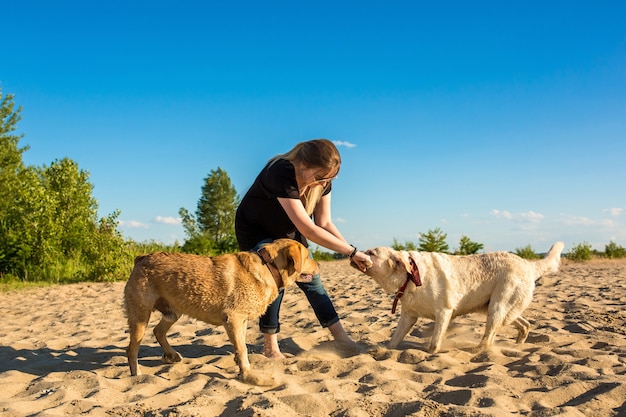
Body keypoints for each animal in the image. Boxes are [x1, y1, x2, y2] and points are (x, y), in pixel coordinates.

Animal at [123, 237, 316, 384]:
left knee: (158, 331)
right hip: (141, 317)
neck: (269, 266)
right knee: (132, 349)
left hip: (173, 312)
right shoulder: (233, 318)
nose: (319, 265)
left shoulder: (241, 321)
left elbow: (241, 345)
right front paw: (248, 375)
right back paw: (136, 375)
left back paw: (171, 355)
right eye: (307, 257)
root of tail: (141, 258)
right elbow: (243, 348)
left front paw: (240, 365)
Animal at [354, 240, 564, 352]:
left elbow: (434, 342)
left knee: (489, 338)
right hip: (498, 308)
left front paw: (431, 353)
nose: (355, 254)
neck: (410, 276)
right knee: (524, 324)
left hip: (498, 307)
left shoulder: (444, 312)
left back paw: (477, 352)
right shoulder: (408, 316)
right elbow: (395, 339)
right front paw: (384, 351)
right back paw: (518, 344)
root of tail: (529, 265)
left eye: (372, 252)